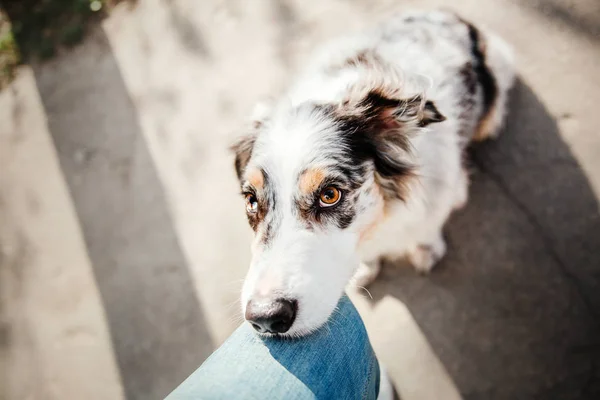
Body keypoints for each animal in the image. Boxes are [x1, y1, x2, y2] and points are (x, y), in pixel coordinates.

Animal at [232, 10, 512, 338]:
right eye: (251, 200)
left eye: (330, 195)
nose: (265, 317)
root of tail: (450, 14)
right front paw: (367, 267)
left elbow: (429, 225)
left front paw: (426, 249)